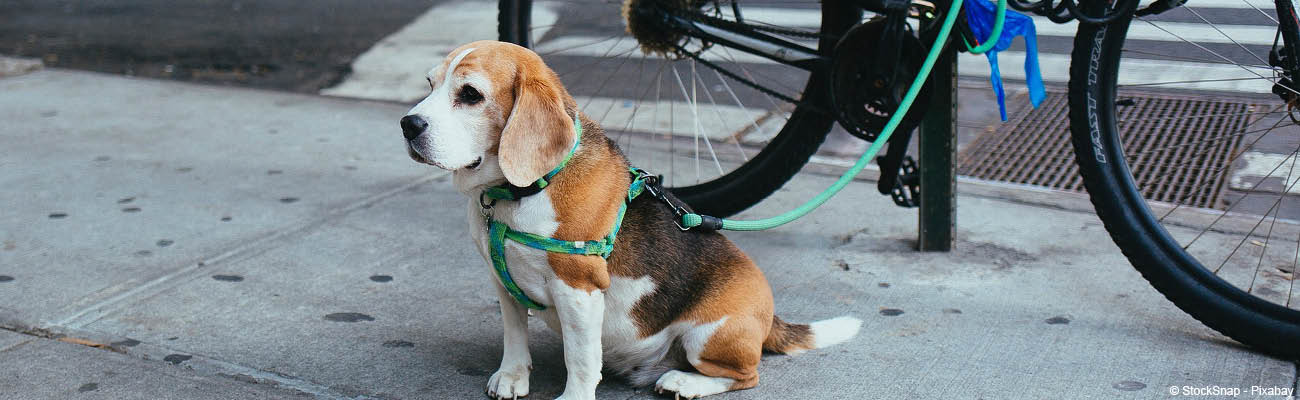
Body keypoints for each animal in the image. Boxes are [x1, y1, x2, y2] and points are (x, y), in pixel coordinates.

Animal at [395, 41, 863, 400]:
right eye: (430, 84)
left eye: (471, 94)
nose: (407, 124)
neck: (520, 191)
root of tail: (770, 317)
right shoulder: (501, 278)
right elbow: (514, 335)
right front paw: (512, 377)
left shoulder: (578, 288)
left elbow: (581, 359)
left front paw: (573, 396)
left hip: (709, 335)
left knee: (746, 376)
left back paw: (685, 382)